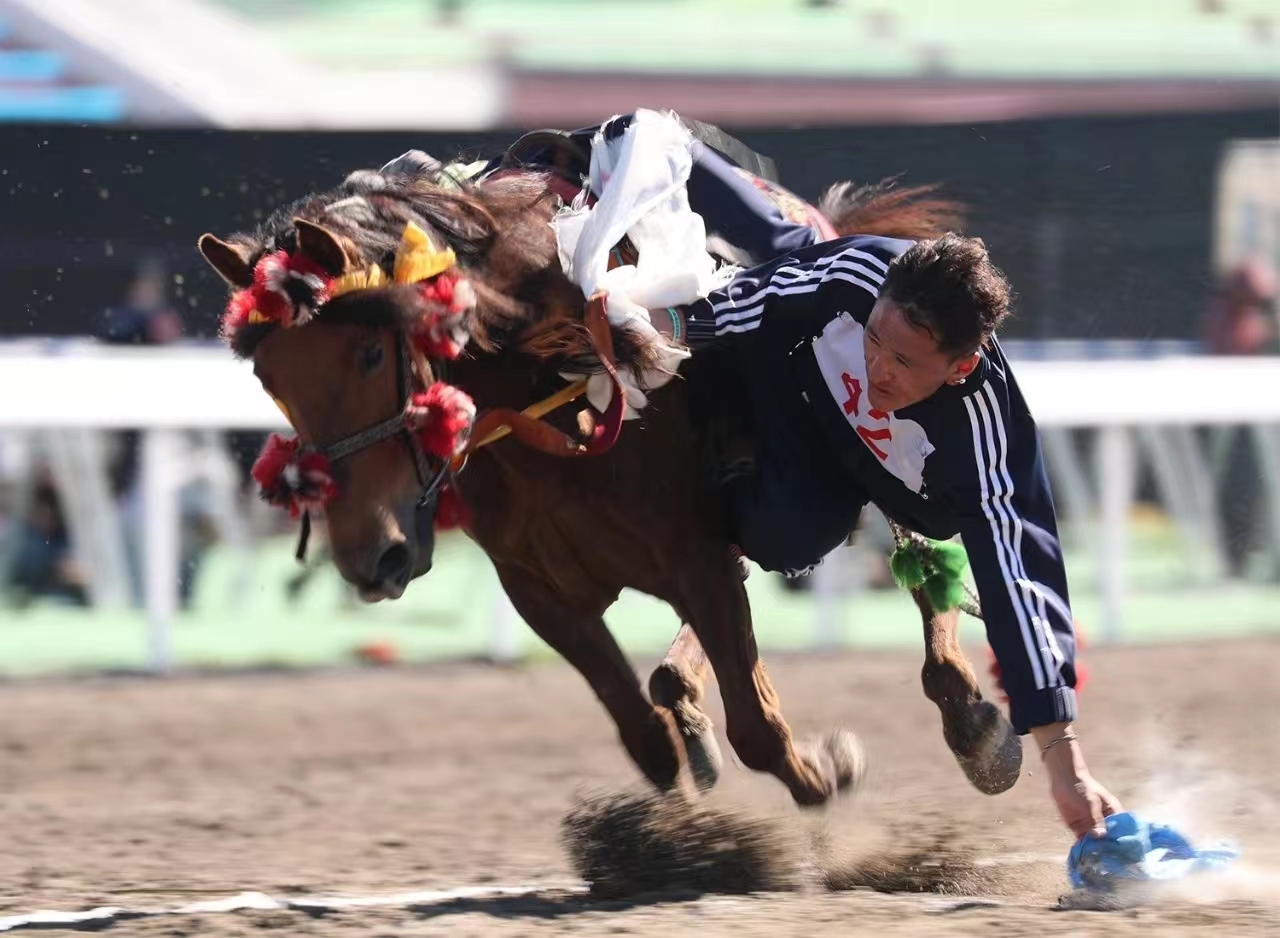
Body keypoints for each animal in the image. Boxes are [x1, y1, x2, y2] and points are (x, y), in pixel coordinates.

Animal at [197, 135, 1018, 808]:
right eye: (269, 378)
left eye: (370, 353)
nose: (372, 556)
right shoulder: (540, 584)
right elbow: (645, 737)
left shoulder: (691, 551)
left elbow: (755, 723)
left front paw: (824, 769)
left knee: (921, 551)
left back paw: (967, 708)